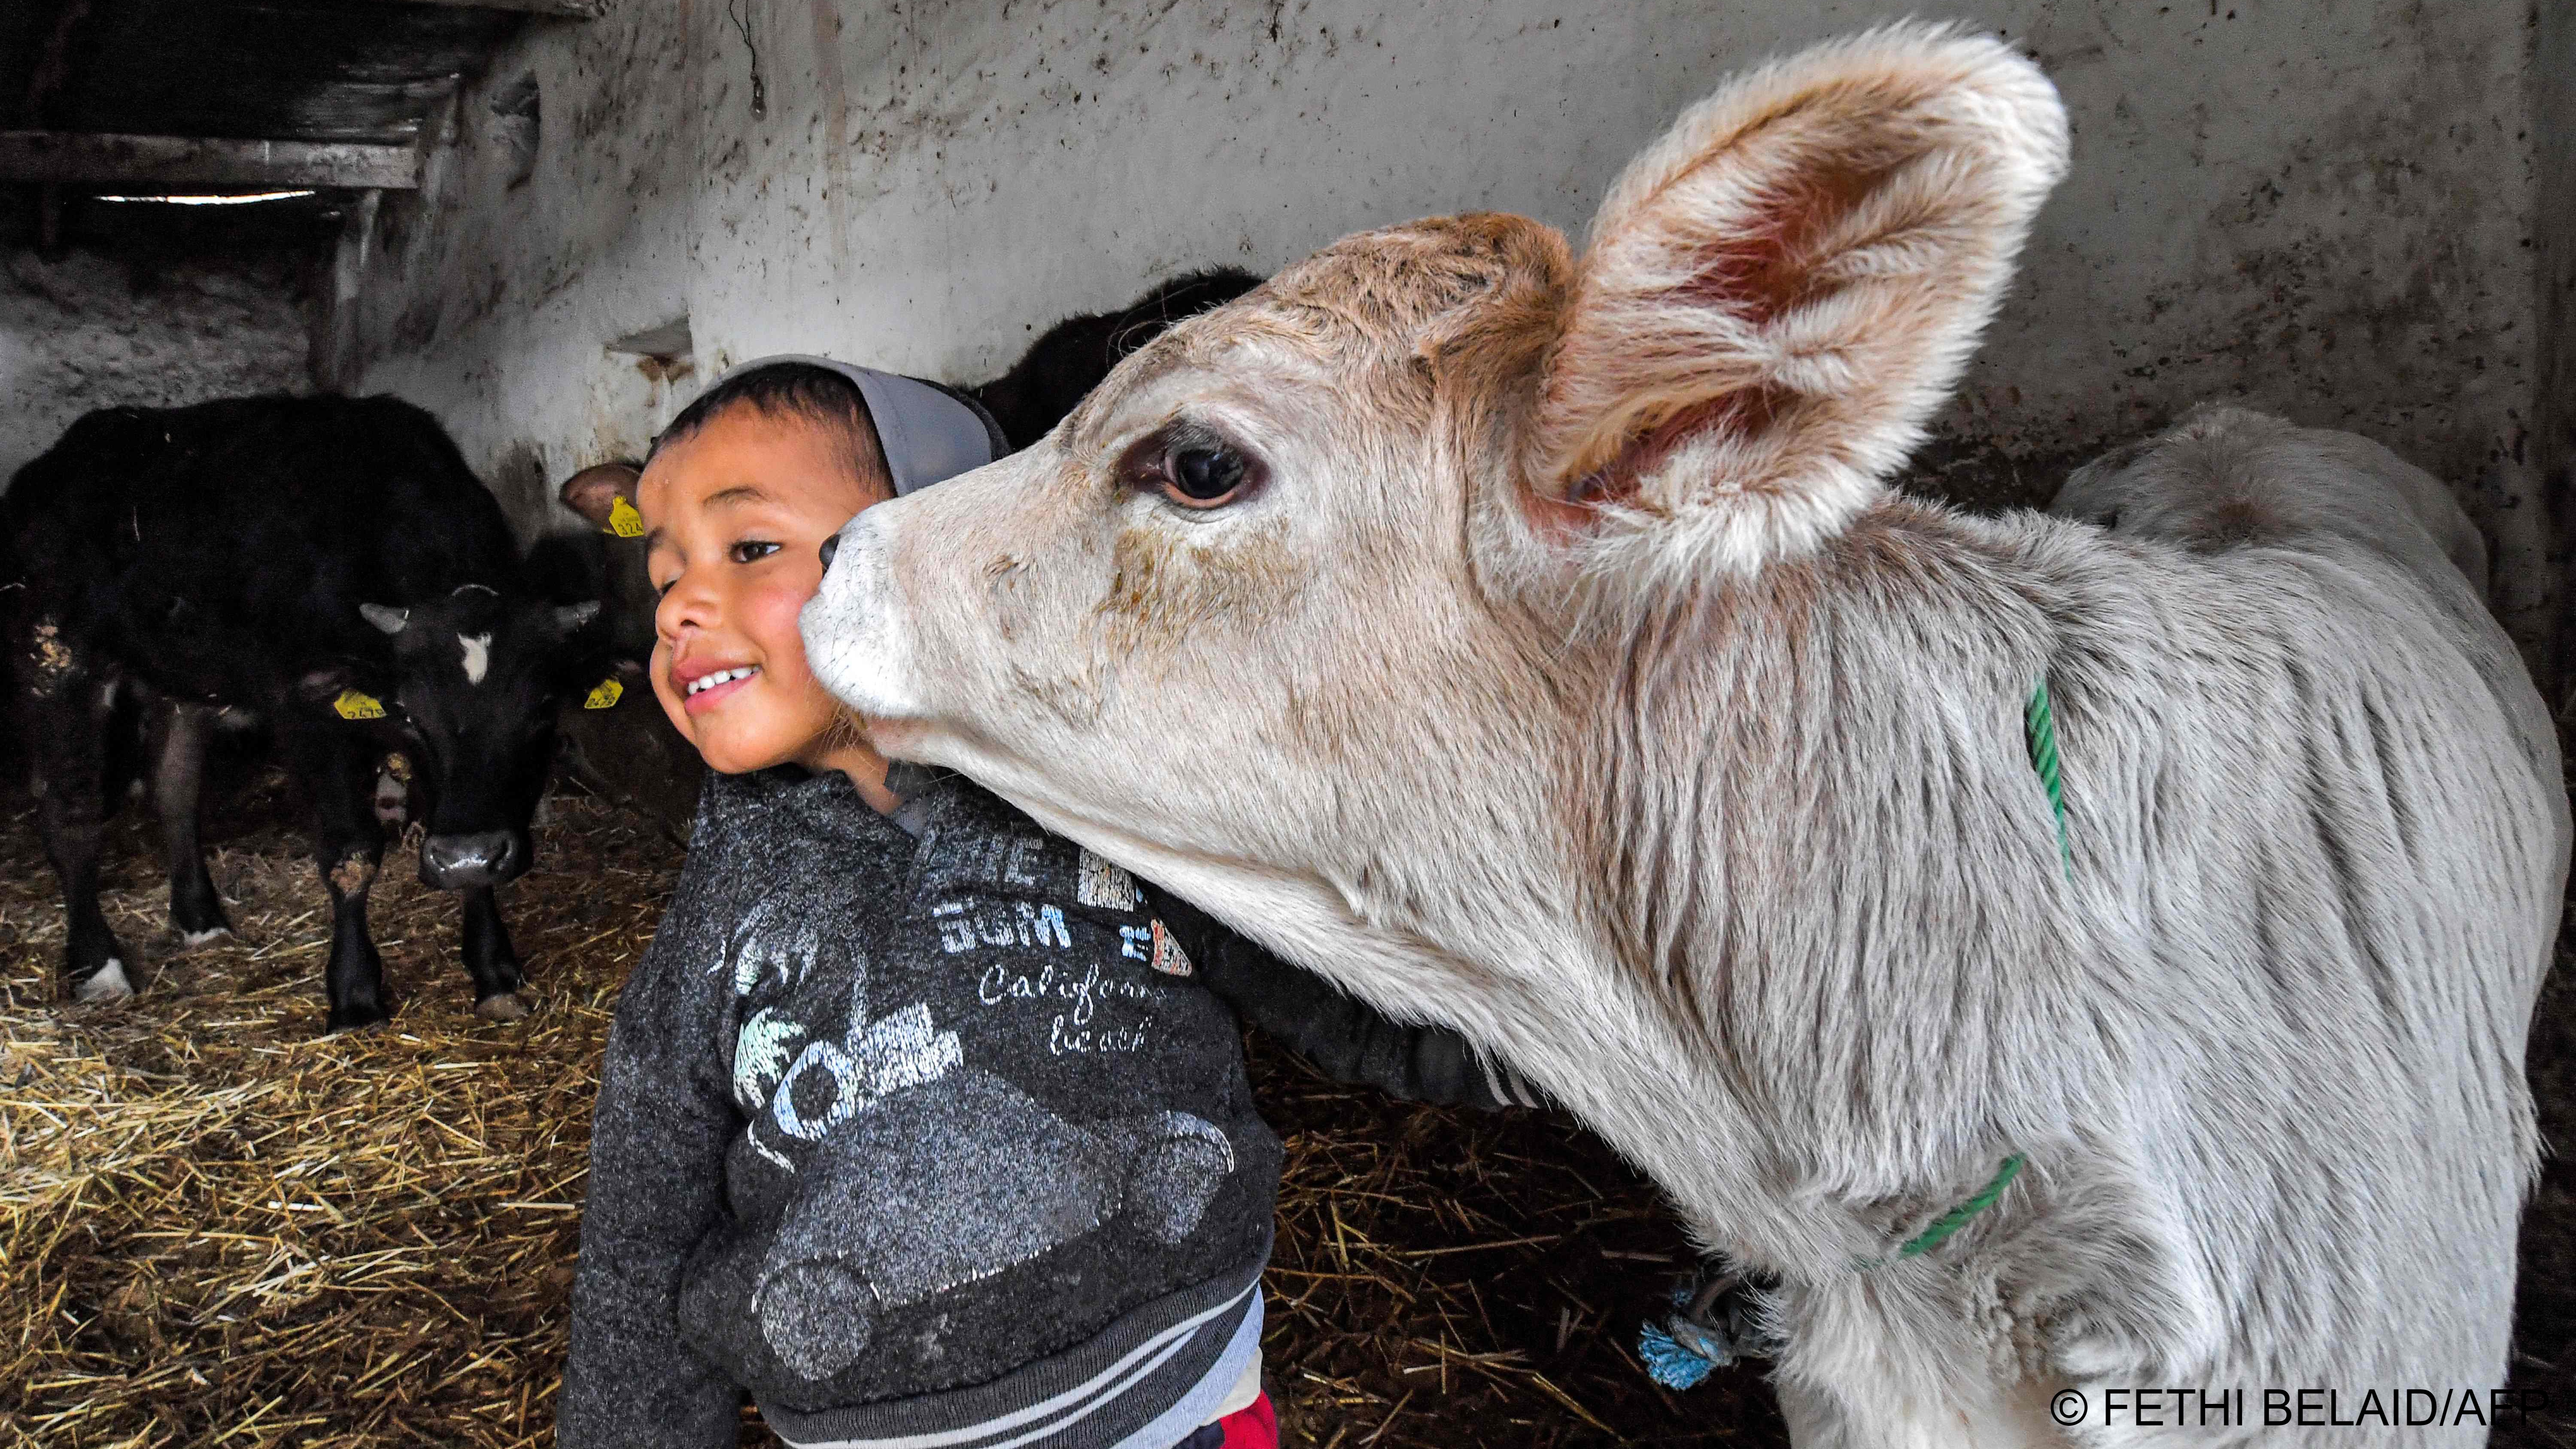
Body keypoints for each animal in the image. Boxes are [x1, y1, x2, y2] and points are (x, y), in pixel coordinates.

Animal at [2, 394, 603, 1026]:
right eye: (412, 715)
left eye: (540, 710)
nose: (466, 853)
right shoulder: (311, 709)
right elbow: (351, 852)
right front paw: (355, 993)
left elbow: (470, 847)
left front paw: (492, 967)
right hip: (55, 655)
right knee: (71, 813)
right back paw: (99, 964)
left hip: (184, 677)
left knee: (175, 789)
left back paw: (200, 918)